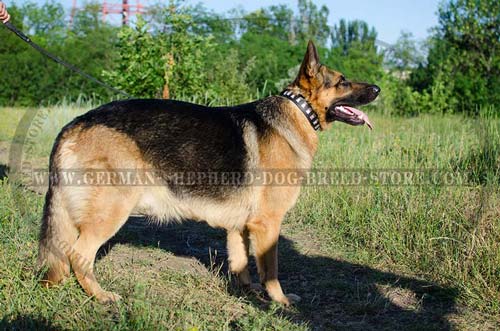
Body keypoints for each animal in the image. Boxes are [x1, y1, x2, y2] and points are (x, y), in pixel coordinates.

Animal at [39, 40, 380, 304]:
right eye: (342, 82)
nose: (377, 89)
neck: (298, 110)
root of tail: (75, 123)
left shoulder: (239, 227)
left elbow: (242, 264)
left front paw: (249, 294)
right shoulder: (267, 224)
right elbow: (270, 270)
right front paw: (280, 301)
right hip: (111, 211)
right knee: (78, 255)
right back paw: (100, 295)